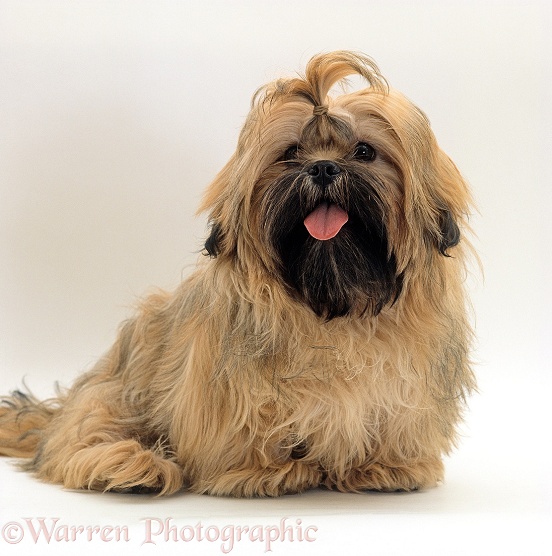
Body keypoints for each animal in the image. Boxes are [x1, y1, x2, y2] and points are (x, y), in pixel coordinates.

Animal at [0, 51, 474, 496]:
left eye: (364, 152)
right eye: (290, 154)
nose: (323, 167)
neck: (331, 305)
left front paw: (385, 465)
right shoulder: (226, 387)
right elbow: (249, 422)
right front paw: (263, 470)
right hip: (123, 385)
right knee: (78, 438)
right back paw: (131, 464)